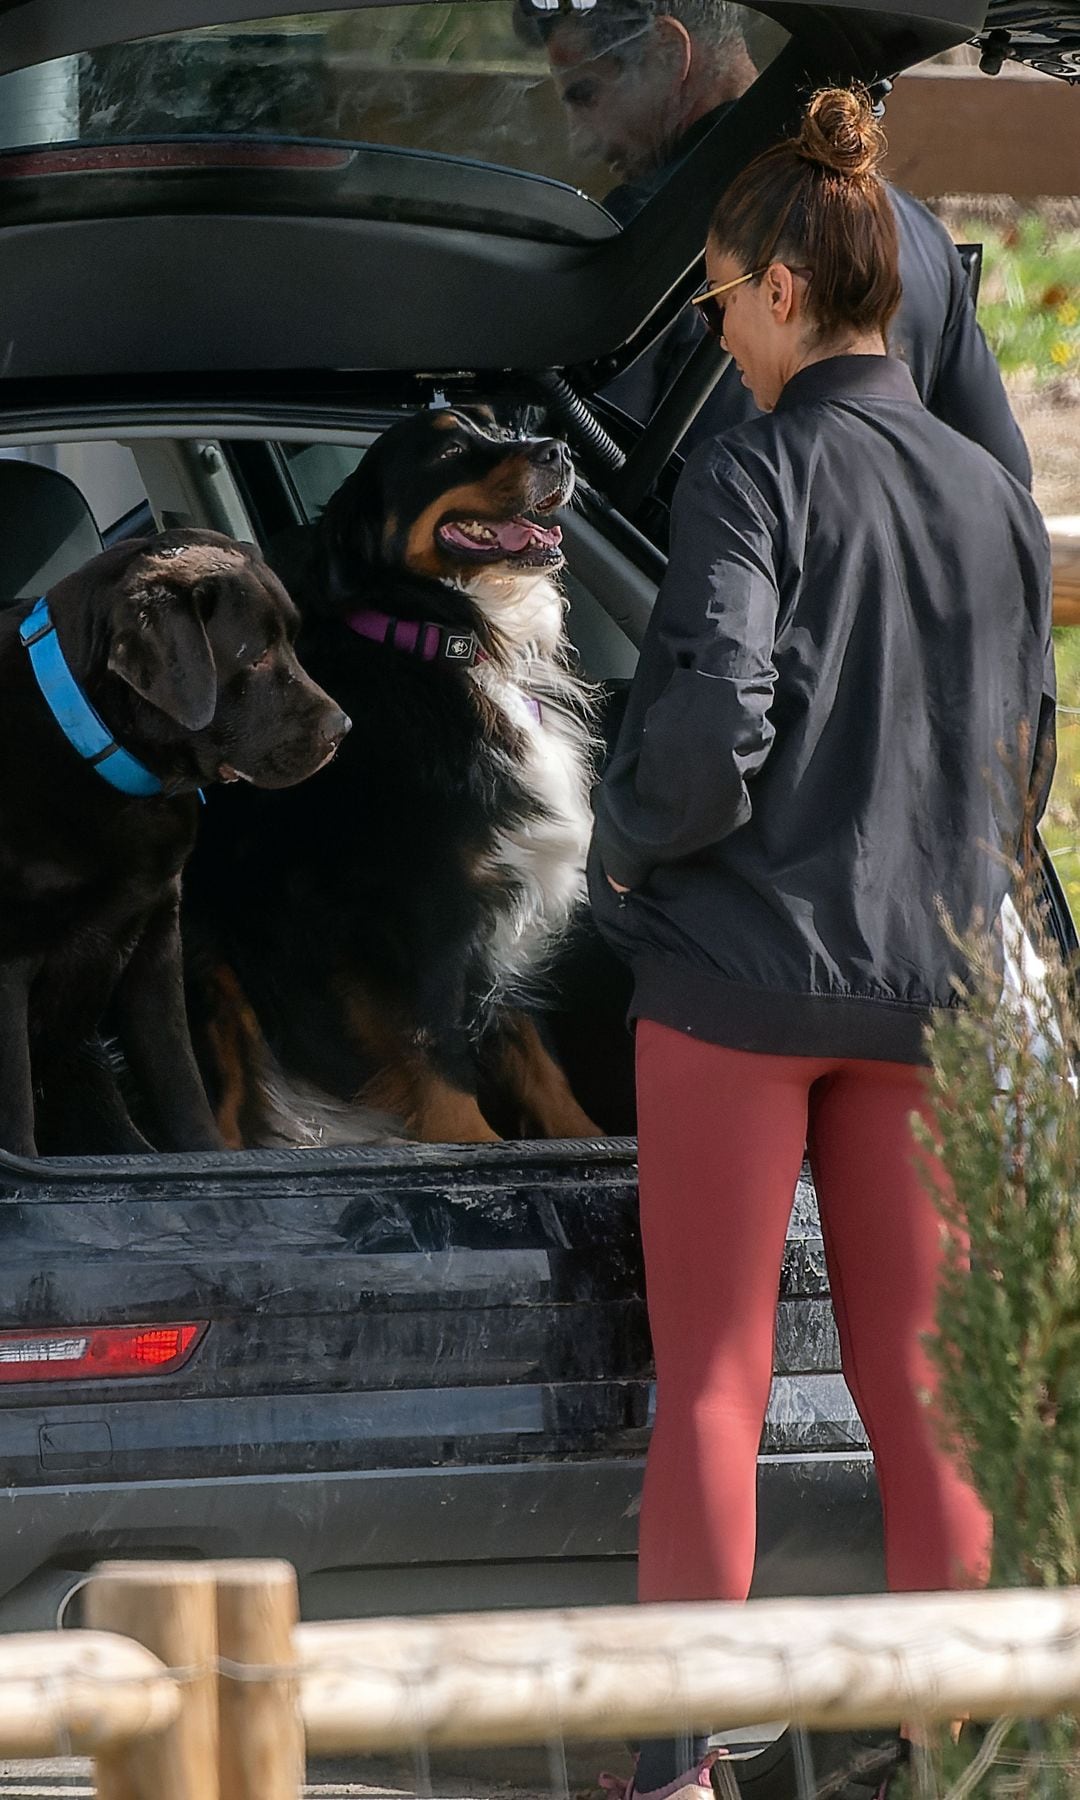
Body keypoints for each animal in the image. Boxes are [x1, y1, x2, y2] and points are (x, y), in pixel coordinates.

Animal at [188, 403, 608, 1144]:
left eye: (500, 428)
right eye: (448, 449)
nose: (558, 450)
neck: (441, 637)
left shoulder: (499, 895)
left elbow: (533, 1050)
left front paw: (584, 1139)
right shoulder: (417, 914)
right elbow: (436, 1054)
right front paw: (474, 1146)